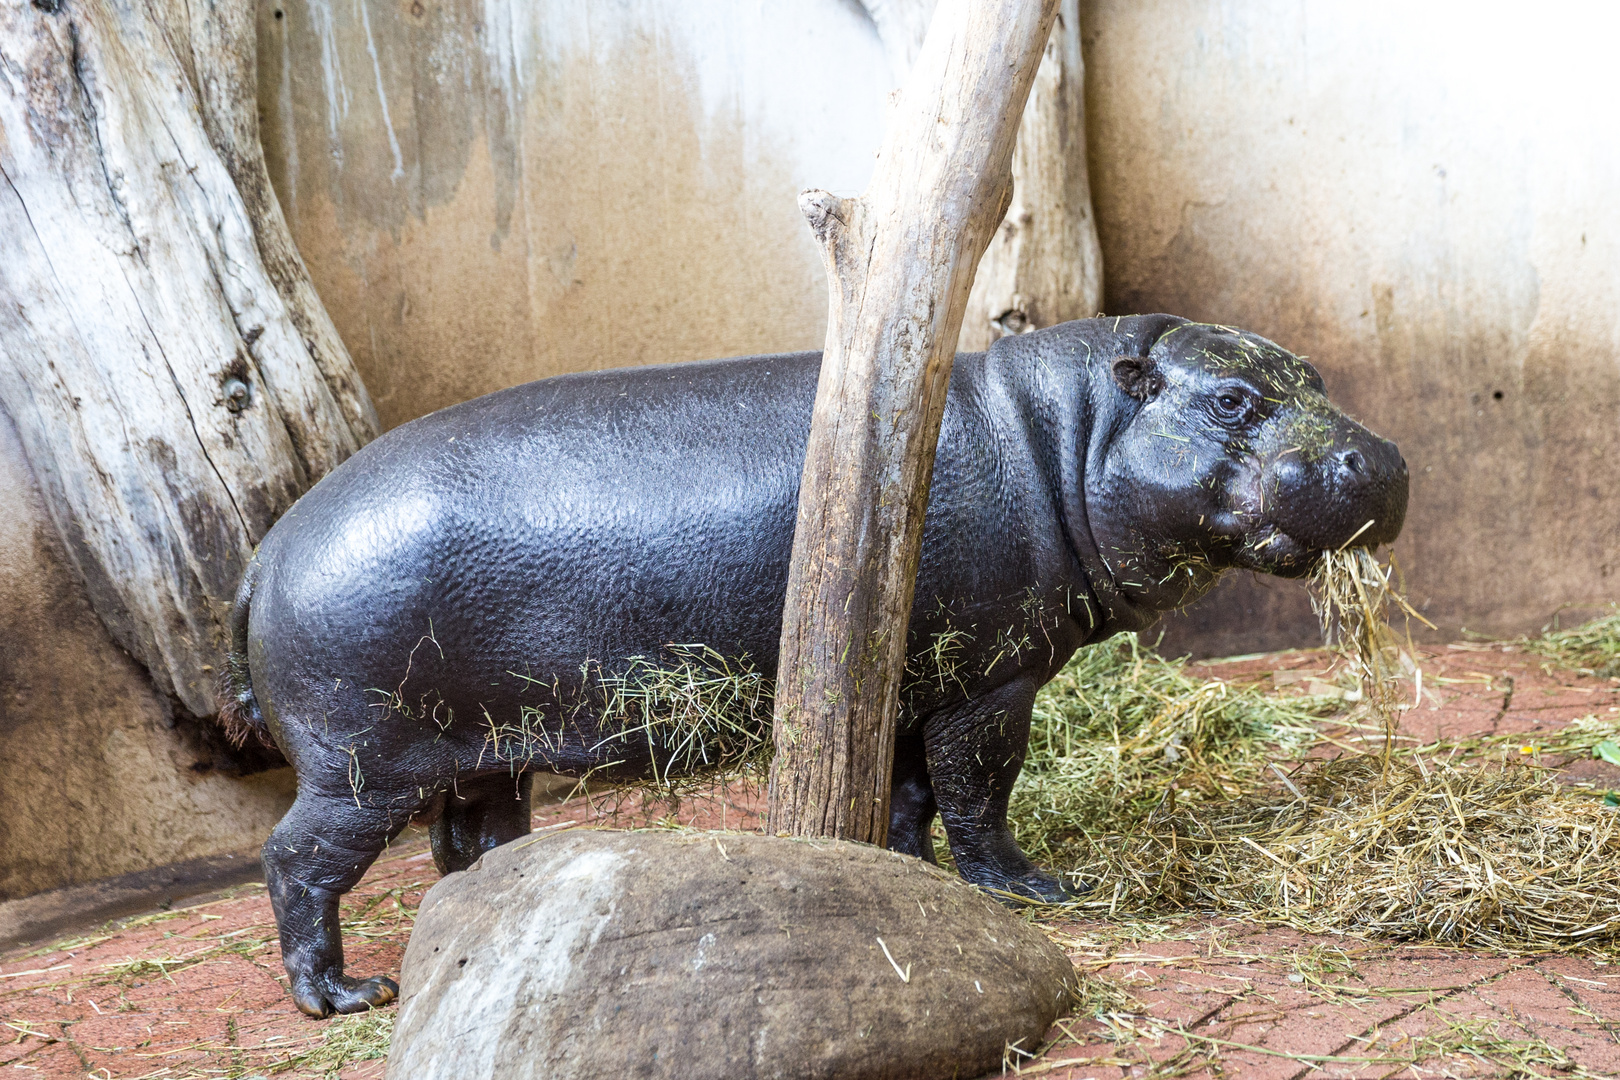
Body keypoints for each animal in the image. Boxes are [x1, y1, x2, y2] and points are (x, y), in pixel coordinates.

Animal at [218, 312, 1406, 1016]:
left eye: (1307, 372)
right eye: (1231, 401)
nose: (1383, 458)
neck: (1065, 433)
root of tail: (265, 551)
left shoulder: (921, 680)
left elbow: (913, 792)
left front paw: (913, 876)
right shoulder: (991, 682)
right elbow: (981, 790)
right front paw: (1038, 889)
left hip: (480, 751)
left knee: (467, 840)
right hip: (364, 764)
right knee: (298, 861)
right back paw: (346, 996)